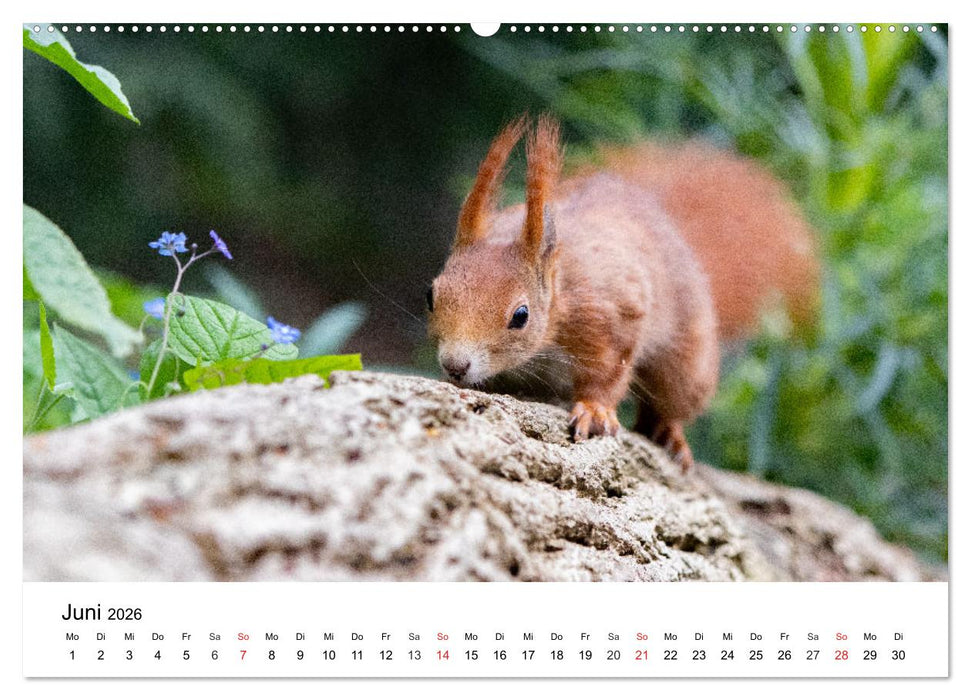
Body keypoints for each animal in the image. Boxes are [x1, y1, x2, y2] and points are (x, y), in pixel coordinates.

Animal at [426, 114, 818, 470]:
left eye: (520, 316)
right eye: (431, 295)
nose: (455, 365)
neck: (561, 287)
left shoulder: (608, 315)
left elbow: (610, 371)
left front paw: (594, 410)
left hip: (686, 365)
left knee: (670, 402)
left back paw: (669, 434)